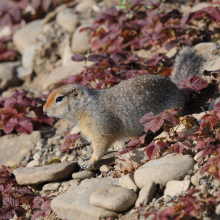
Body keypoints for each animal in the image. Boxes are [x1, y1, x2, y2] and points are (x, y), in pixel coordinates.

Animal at [43, 46, 208, 168]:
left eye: (59, 98)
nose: (44, 110)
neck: (86, 107)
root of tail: (178, 88)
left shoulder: (99, 126)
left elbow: (100, 145)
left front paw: (89, 162)